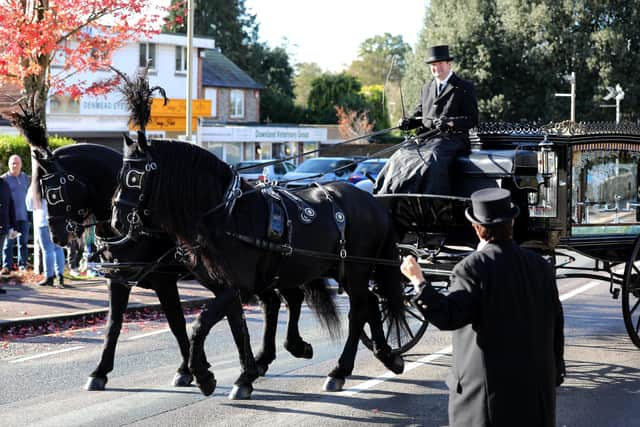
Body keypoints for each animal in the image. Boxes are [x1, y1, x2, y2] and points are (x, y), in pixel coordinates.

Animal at [112, 135, 408, 392]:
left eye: (134, 176)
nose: (117, 221)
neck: (227, 215)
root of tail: (372, 201)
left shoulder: (238, 286)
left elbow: (200, 325)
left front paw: (204, 376)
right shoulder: (226, 288)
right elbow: (237, 326)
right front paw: (246, 374)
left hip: (355, 270)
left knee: (358, 310)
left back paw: (340, 370)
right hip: (341, 269)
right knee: (371, 302)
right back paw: (387, 355)